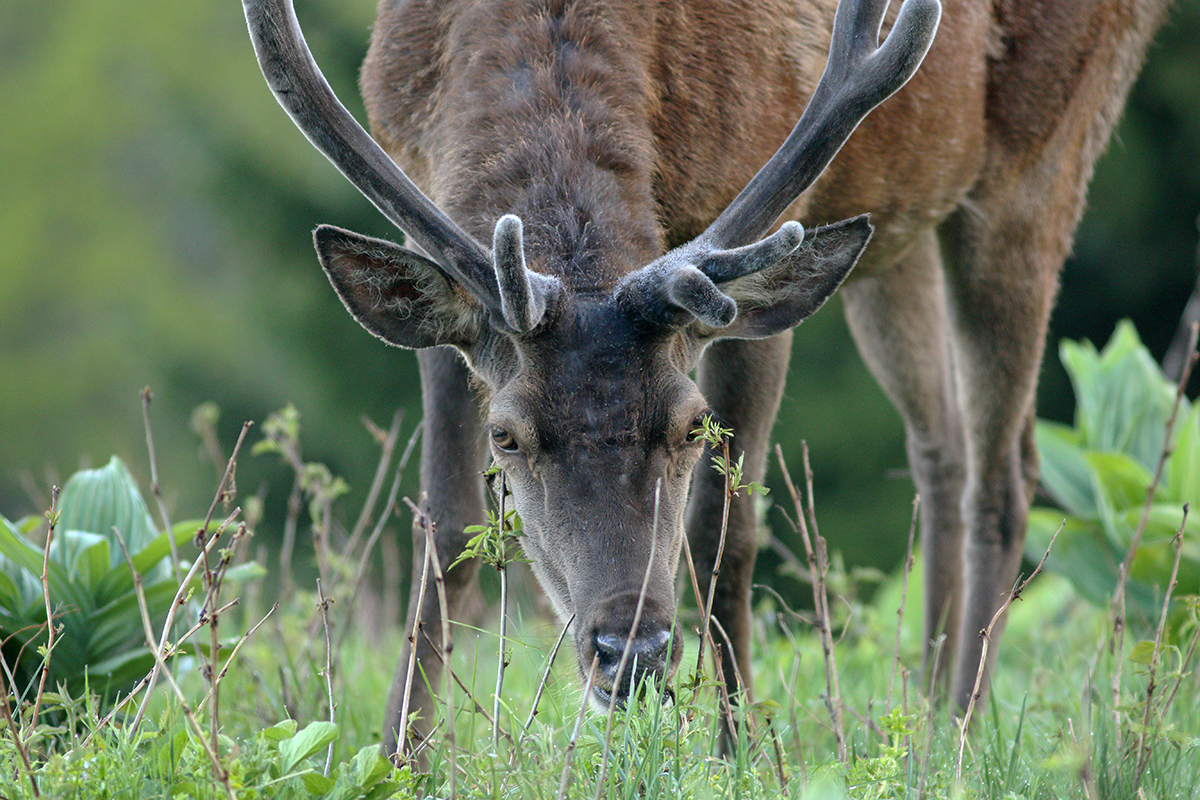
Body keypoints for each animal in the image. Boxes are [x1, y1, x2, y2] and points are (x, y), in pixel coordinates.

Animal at [243, 0, 1171, 758]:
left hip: (1041, 157)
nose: (632, 655)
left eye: (691, 424)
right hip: (895, 231)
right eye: (506, 434)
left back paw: (968, 727)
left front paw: (737, 753)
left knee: (1005, 473)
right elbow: (445, 526)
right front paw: (402, 752)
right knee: (939, 444)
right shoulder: (436, 245)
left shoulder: (752, 235)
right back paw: (932, 715)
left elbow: (723, 531)